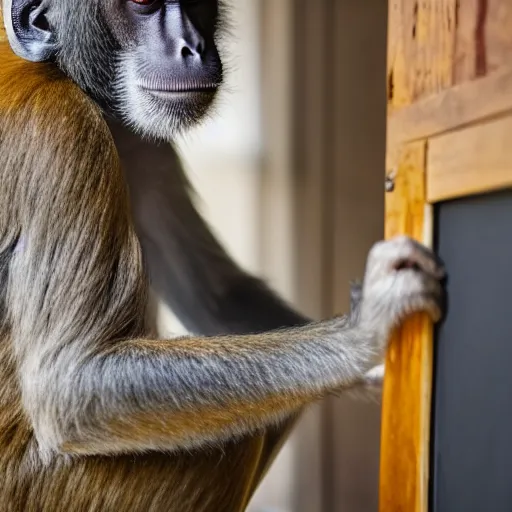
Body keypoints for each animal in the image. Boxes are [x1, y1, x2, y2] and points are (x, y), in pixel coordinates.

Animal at [0, 0, 444, 510]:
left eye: (197, 3)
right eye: (142, 3)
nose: (192, 46)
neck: (62, 72)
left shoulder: (144, 140)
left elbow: (215, 296)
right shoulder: (59, 130)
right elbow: (71, 380)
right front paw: (363, 331)